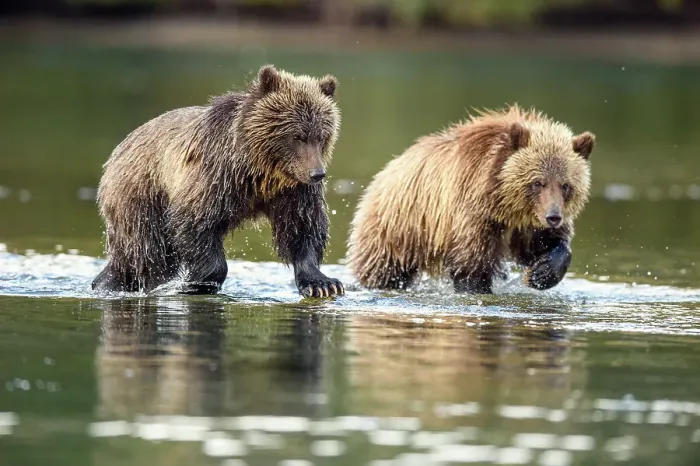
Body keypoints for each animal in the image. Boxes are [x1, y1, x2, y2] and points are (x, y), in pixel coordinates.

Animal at [92, 64, 345, 298]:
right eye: (297, 136)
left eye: (322, 136)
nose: (317, 174)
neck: (261, 172)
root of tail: (116, 153)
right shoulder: (215, 176)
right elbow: (195, 222)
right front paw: (194, 283)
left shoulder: (293, 191)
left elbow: (303, 227)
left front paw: (323, 284)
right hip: (141, 196)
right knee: (151, 252)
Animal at [347, 104, 595, 294]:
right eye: (537, 182)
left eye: (566, 185)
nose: (553, 216)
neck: (504, 203)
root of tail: (384, 172)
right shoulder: (474, 211)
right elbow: (472, 266)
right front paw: (479, 289)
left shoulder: (525, 225)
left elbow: (547, 245)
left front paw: (541, 272)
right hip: (395, 230)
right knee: (382, 270)